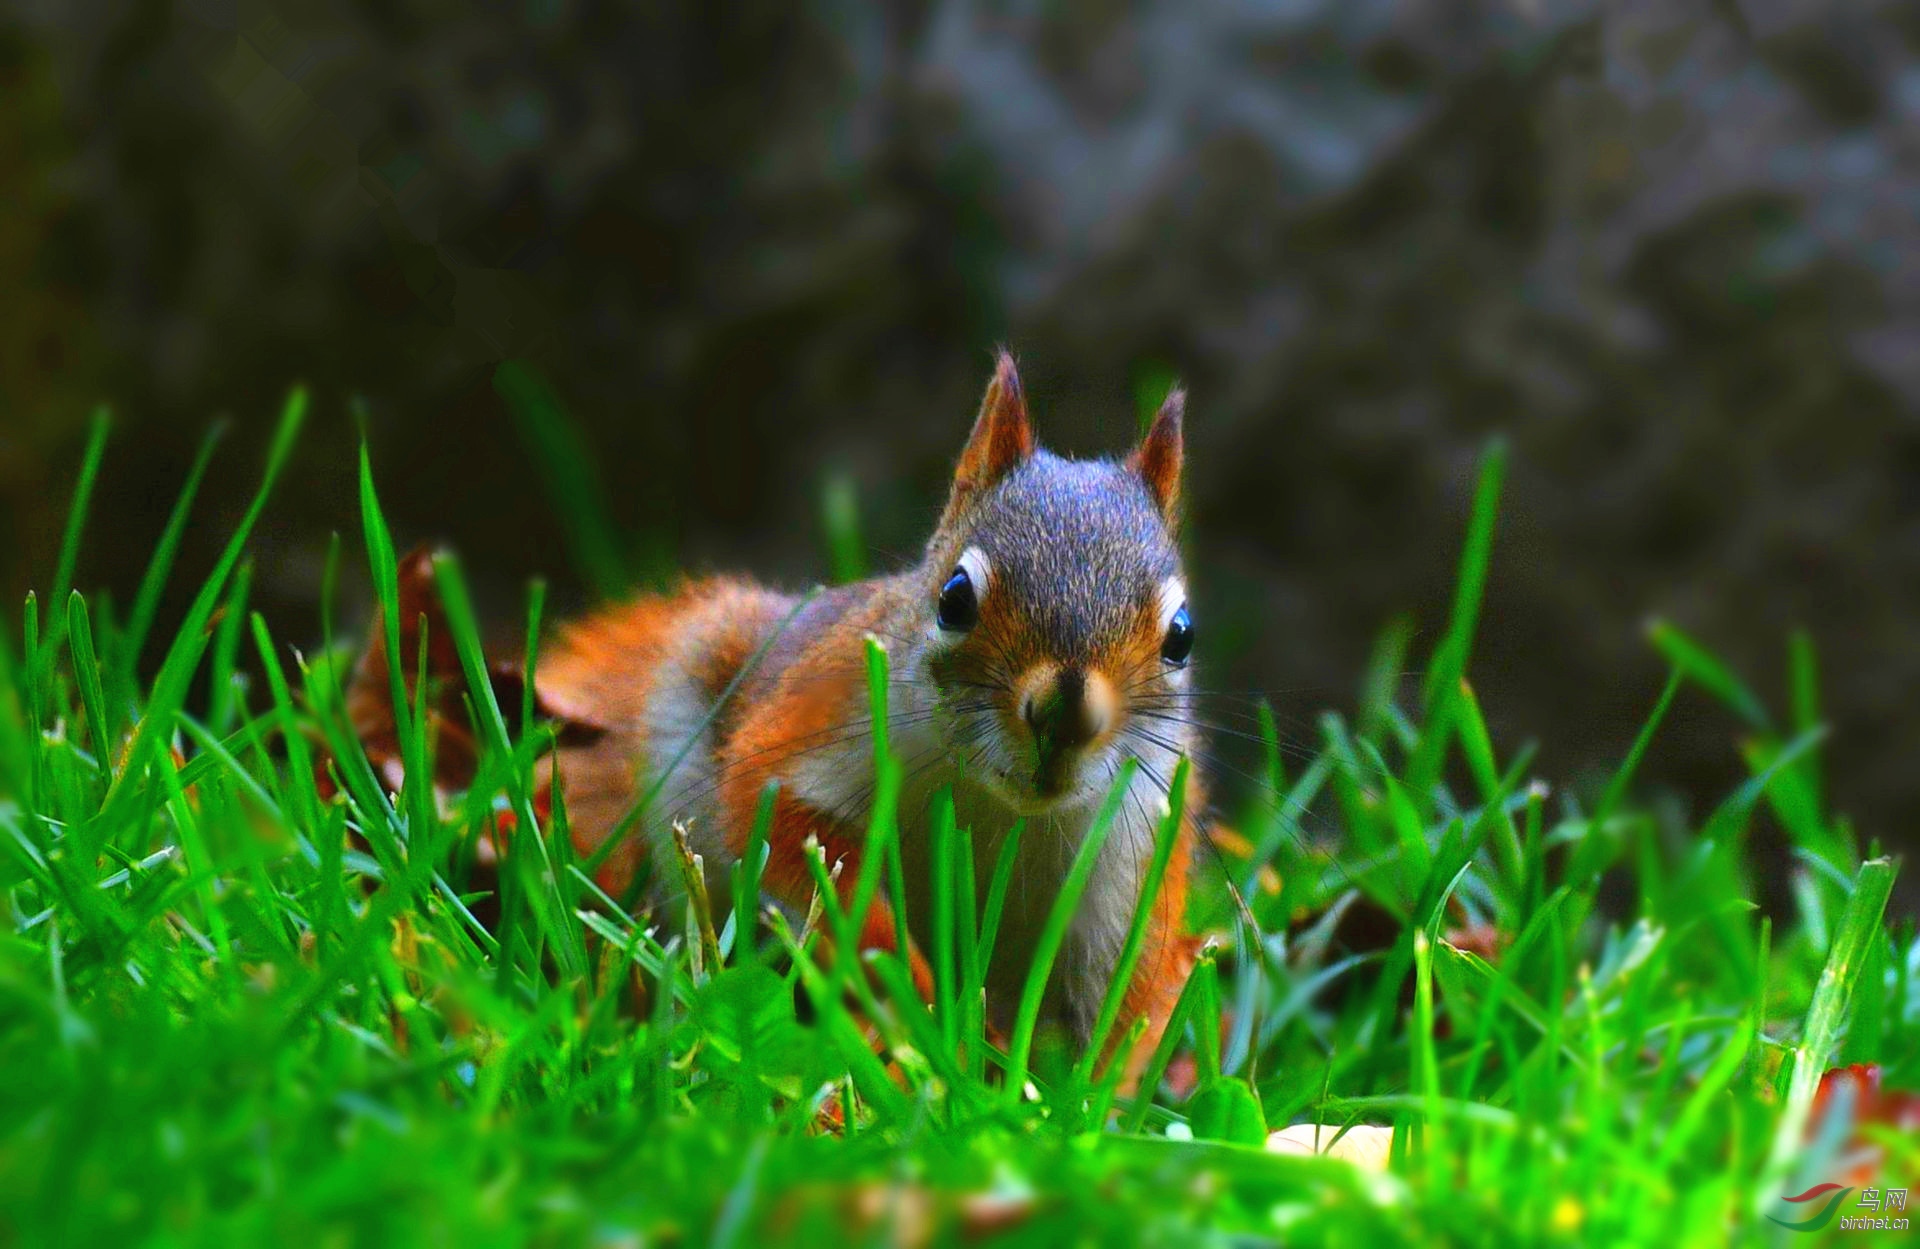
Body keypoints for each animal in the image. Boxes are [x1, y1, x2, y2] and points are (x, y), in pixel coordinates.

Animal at [529, 354, 1198, 1074]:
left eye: (1182, 635)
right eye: (954, 597)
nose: (1065, 717)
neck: (998, 805)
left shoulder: (1132, 860)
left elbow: (1112, 1006)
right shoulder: (811, 729)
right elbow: (785, 827)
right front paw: (909, 980)